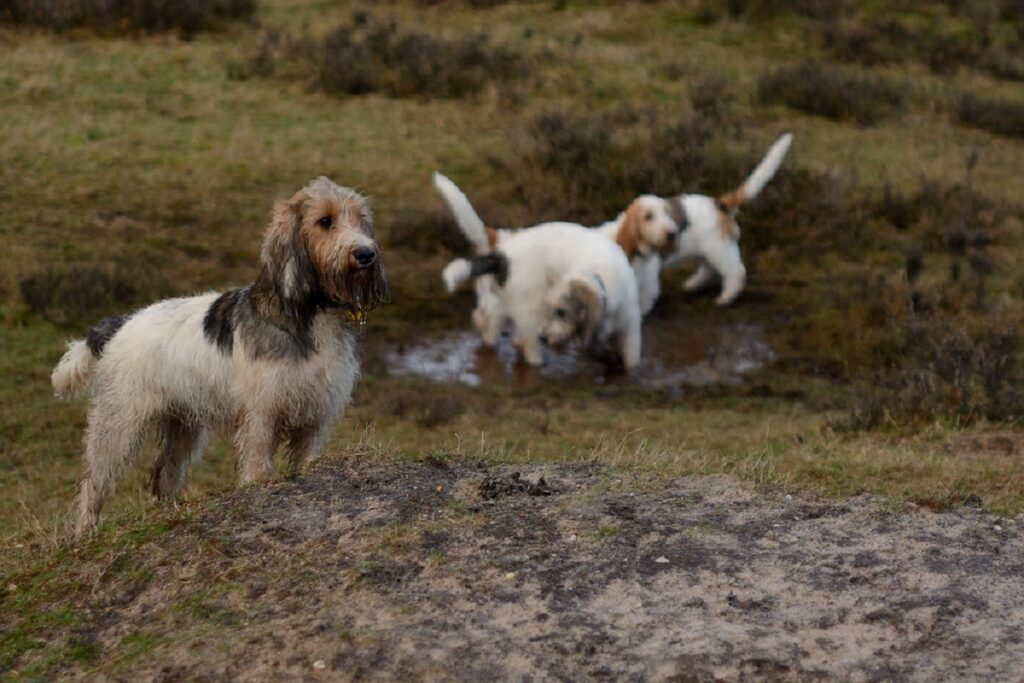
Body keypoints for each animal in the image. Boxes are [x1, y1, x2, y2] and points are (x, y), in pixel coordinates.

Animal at [51, 178, 387, 540]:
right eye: (325, 221)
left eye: (360, 218)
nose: (366, 254)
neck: (310, 313)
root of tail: (121, 323)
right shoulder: (261, 415)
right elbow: (257, 464)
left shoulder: (315, 417)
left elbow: (304, 461)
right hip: (119, 423)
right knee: (94, 481)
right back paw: (84, 531)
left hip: (183, 424)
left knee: (164, 472)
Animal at [448, 222, 638, 368]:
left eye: (561, 312)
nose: (544, 338)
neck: (602, 276)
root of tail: (503, 256)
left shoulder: (629, 327)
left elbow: (631, 361)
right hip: (531, 302)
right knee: (527, 341)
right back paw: (537, 362)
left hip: (508, 300)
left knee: (492, 324)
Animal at [659, 133, 794, 305]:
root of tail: (720, 204)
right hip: (708, 250)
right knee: (710, 269)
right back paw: (693, 284)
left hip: (718, 248)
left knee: (735, 271)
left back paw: (726, 297)